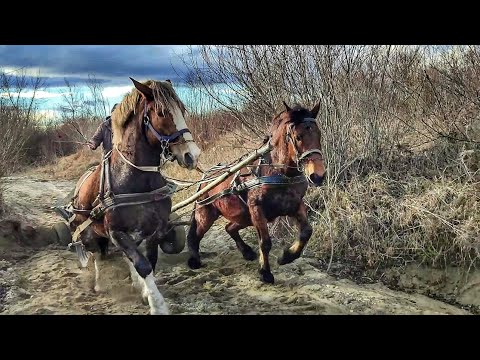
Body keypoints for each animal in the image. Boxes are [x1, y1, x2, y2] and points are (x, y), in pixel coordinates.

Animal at [69, 77, 201, 314]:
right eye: (162, 113)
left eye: (182, 109)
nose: (192, 155)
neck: (135, 178)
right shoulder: (116, 232)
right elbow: (142, 264)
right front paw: (158, 306)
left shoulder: (155, 229)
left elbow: (148, 261)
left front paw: (146, 293)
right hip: (87, 233)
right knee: (96, 254)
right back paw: (99, 283)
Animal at [188, 101, 326, 284]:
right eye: (298, 137)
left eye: (318, 134)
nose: (318, 176)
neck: (278, 173)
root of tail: (205, 178)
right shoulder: (257, 209)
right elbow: (265, 242)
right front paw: (265, 272)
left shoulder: (295, 205)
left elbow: (306, 232)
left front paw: (286, 256)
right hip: (206, 214)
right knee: (196, 235)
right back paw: (194, 259)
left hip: (243, 216)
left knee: (229, 228)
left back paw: (246, 252)